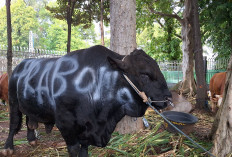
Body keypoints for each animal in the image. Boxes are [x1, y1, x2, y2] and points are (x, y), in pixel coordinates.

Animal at [2, 44, 171, 156]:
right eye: (145, 75)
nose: (168, 98)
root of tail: (21, 64)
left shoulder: (88, 130)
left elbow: (84, 149)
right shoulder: (66, 124)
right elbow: (74, 149)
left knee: (30, 121)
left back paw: (32, 139)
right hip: (13, 102)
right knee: (13, 124)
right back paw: (8, 147)